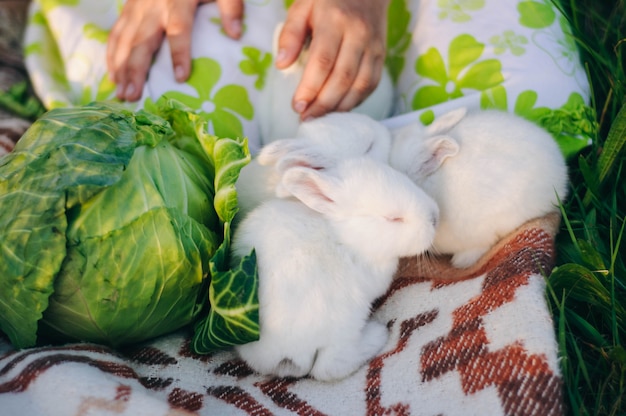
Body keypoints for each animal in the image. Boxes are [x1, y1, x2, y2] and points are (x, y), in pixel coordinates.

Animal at [227, 156, 436, 380]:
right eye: (393, 218)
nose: (435, 217)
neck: (346, 238)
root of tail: (285, 355)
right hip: (347, 320)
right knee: (328, 366)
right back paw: (377, 334)